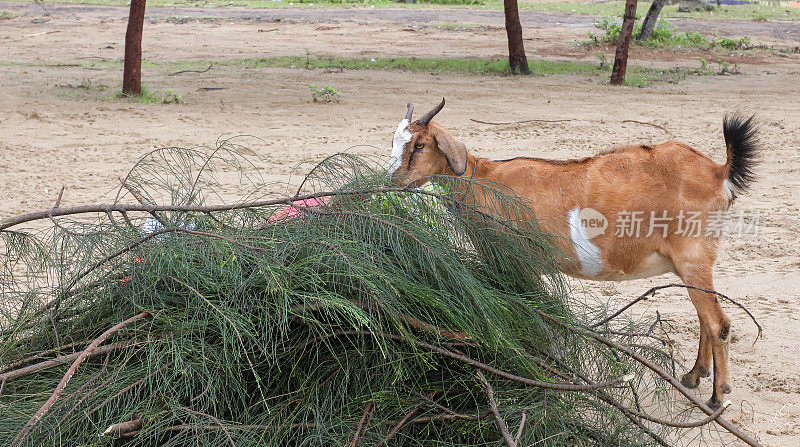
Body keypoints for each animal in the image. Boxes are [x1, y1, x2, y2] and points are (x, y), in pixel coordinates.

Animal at [390, 98, 760, 410]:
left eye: (419, 144)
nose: (392, 180)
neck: (483, 180)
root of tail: (718, 171)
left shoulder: (522, 262)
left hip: (693, 255)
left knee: (718, 323)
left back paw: (717, 397)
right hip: (689, 264)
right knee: (704, 317)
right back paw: (694, 376)